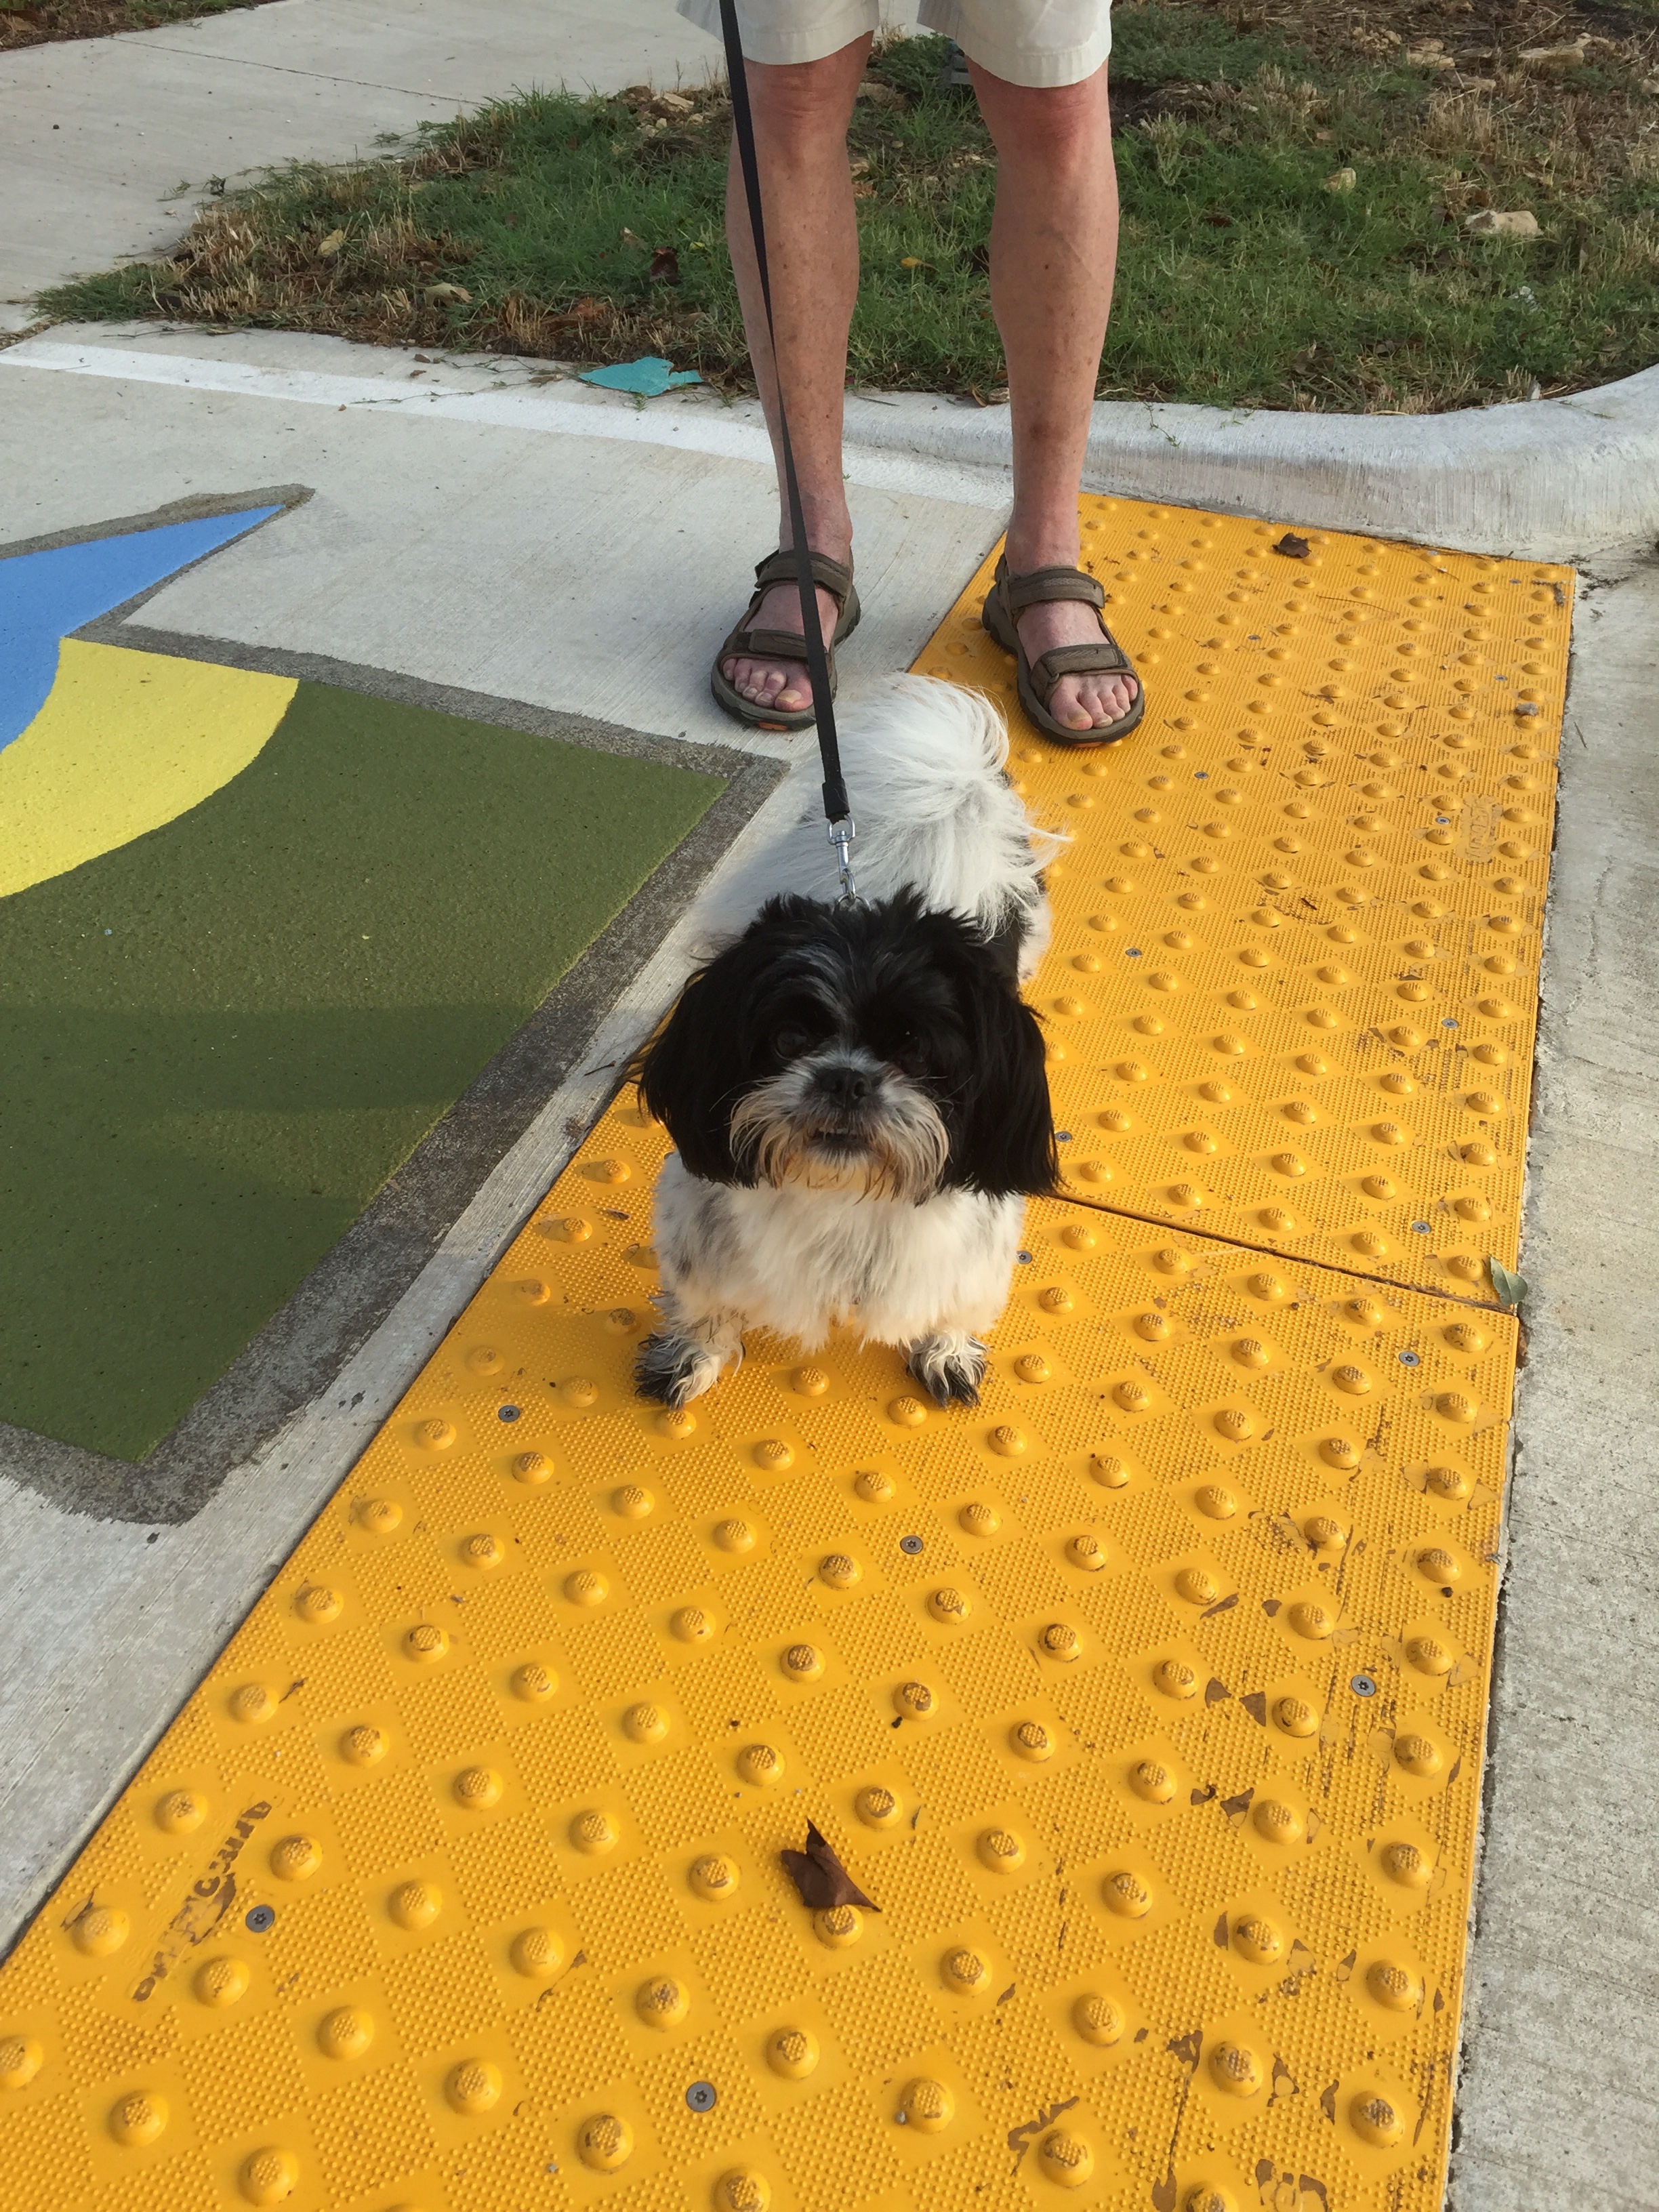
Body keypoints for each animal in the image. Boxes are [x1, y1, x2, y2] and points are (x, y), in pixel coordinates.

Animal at [628, 668, 1057, 1415]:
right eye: (789, 1036)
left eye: (915, 1048)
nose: (846, 1078)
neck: (840, 1195)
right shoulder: (698, 1225)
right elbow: (700, 1303)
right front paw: (691, 1356)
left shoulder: (974, 1253)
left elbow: (959, 1306)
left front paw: (946, 1350)